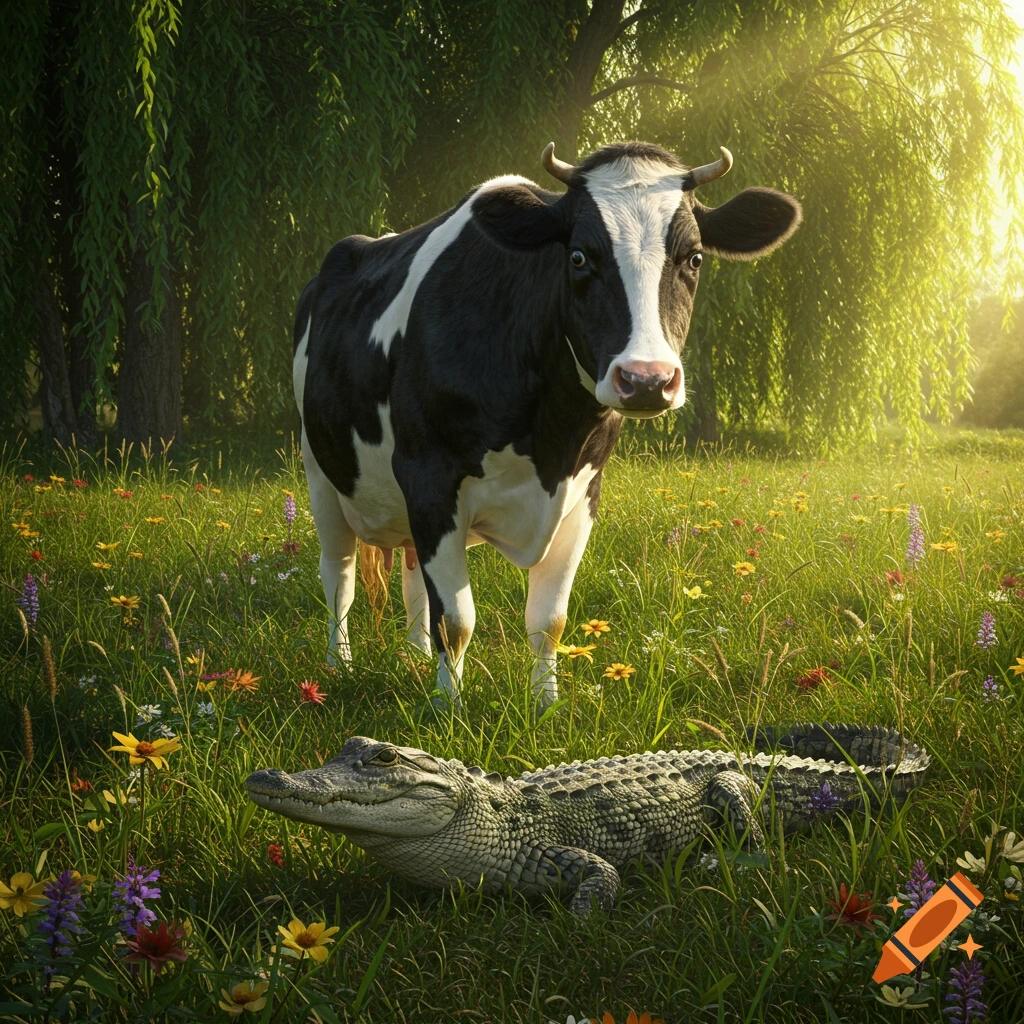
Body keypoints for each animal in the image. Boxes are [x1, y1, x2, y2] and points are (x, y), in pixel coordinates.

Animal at [293, 140, 801, 709]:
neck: (548, 441)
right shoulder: (429, 477)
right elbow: (457, 619)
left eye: (693, 257)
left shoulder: (582, 491)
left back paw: (414, 658)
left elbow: (548, 619)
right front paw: (449, 710)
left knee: (409, 577)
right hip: (319, 471)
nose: (647, 379)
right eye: (578, 256)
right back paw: (338, 665)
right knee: (339, 577)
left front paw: (546, 705)